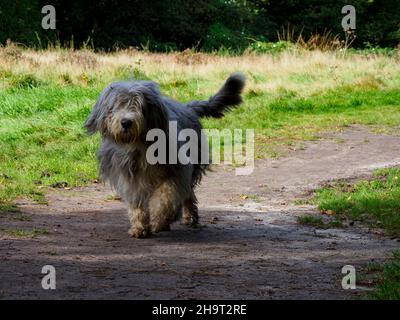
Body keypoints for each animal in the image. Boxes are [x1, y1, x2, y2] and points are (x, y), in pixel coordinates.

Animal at [86, 72, 245, 238]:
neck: (139, 145)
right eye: (116, 106)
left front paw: (158, 220)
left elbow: (166, 196)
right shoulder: (129, 176)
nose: (126, 122)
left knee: (188, 194)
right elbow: (136, 202)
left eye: (138, 105)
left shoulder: (176, 171)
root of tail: (187, 107)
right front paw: (139, 227)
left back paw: (188, 217)